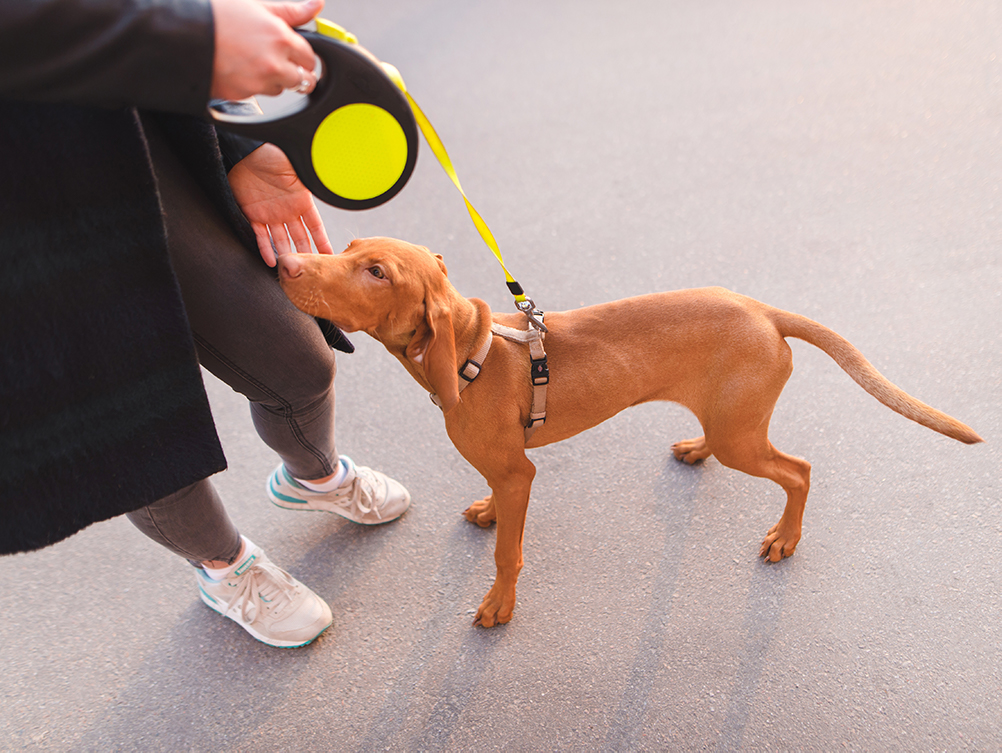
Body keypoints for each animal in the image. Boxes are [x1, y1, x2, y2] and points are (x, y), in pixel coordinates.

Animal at [278, 238, 981, 625]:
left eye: (377, 273)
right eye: (345, 248)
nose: (284, 263)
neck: (472, 352)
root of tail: (763, 310)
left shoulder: (519, 473)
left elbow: (508, 551)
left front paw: (500, 605)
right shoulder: (506, 471)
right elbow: (496, 512)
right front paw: (486, 512)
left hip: (744, 438)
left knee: (799, 471)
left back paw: (785, 537)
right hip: (731, 417)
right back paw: (697, 448)